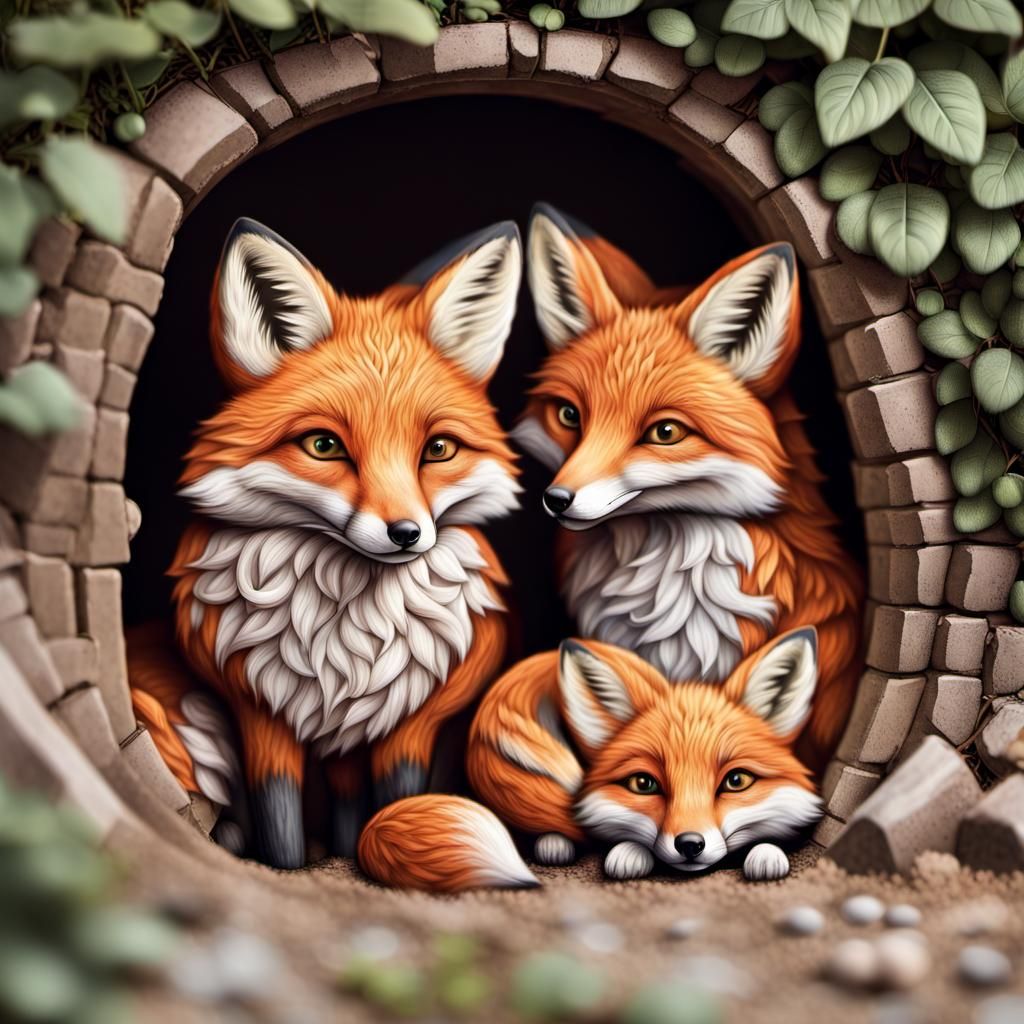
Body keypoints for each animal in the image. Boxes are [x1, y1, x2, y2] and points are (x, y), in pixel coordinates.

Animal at [127, 217, 523, 869]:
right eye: (323, 446)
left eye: (438, 449)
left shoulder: (407, 722)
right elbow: (280, 818)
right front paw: (288, 869)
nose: (406, 533)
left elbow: (393, 803)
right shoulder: (261, 713)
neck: (344, 640)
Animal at [358, 629, 824, 891]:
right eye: (643, 784)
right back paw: (555, 843)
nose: (690, 845)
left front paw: (767, 855)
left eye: (736, 781)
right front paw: (628, 854)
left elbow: (772, 839)